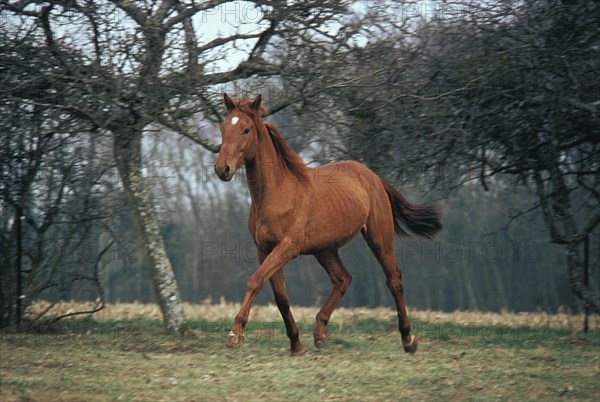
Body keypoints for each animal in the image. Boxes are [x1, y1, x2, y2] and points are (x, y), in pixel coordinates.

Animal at [214, 93, 440, 354]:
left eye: (246, 129)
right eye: (223, 127)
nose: (222, 169)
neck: (277, 192)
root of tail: (372, 176)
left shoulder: (288, 247)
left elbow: (254, 281)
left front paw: (235, 335)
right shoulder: (264, 250)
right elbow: (280, 296)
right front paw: (296, 344)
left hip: (378, 239)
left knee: (393, 280)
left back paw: (408, 339)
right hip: (324, 249)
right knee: (343, 279)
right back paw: (320, 333)